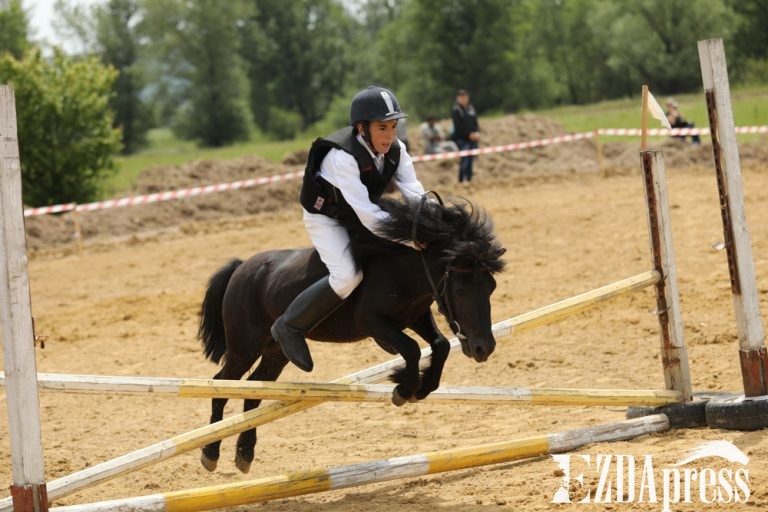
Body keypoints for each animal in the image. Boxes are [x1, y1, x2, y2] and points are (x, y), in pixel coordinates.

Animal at [196, 195, 504, 472]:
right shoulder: (373, 322)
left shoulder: (416, 316)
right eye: (462, 291)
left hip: (275, 353)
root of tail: (241, 268)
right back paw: (210, 452)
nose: (484, 348)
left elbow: (439, 345)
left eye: (491, 287)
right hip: (244, 347)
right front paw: (404, 388)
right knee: (222, 384)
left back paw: (244, 455)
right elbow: (411, 348)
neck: (400, 269)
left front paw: (422, 386)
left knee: (253, 392)